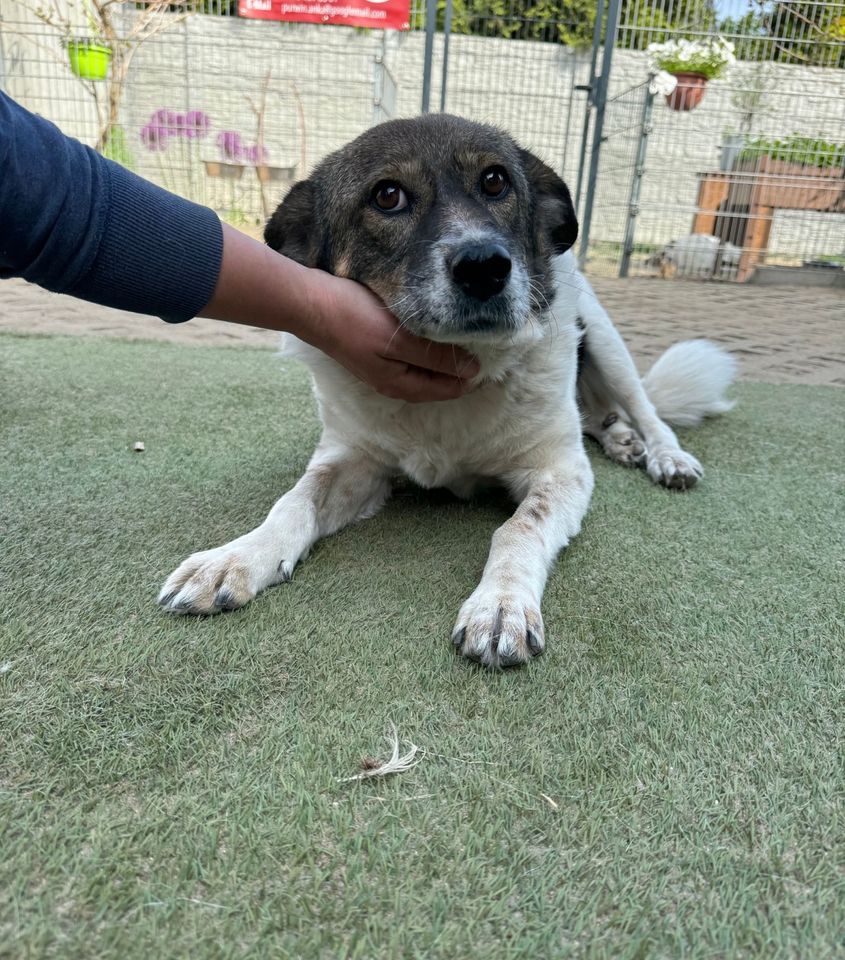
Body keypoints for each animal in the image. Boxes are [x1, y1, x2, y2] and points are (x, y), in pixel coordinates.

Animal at [157, 114, 732, 668]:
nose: (485, 266)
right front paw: (234, 558)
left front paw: (500, 605)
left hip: (605, 338)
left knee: (643, 407)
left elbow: (519, 528)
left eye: (496, 181)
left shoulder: (560, 469)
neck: (453, 383)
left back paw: (664, 455)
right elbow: (293, 502)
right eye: (387, 195)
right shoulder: (353, 457)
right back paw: (619, 438)